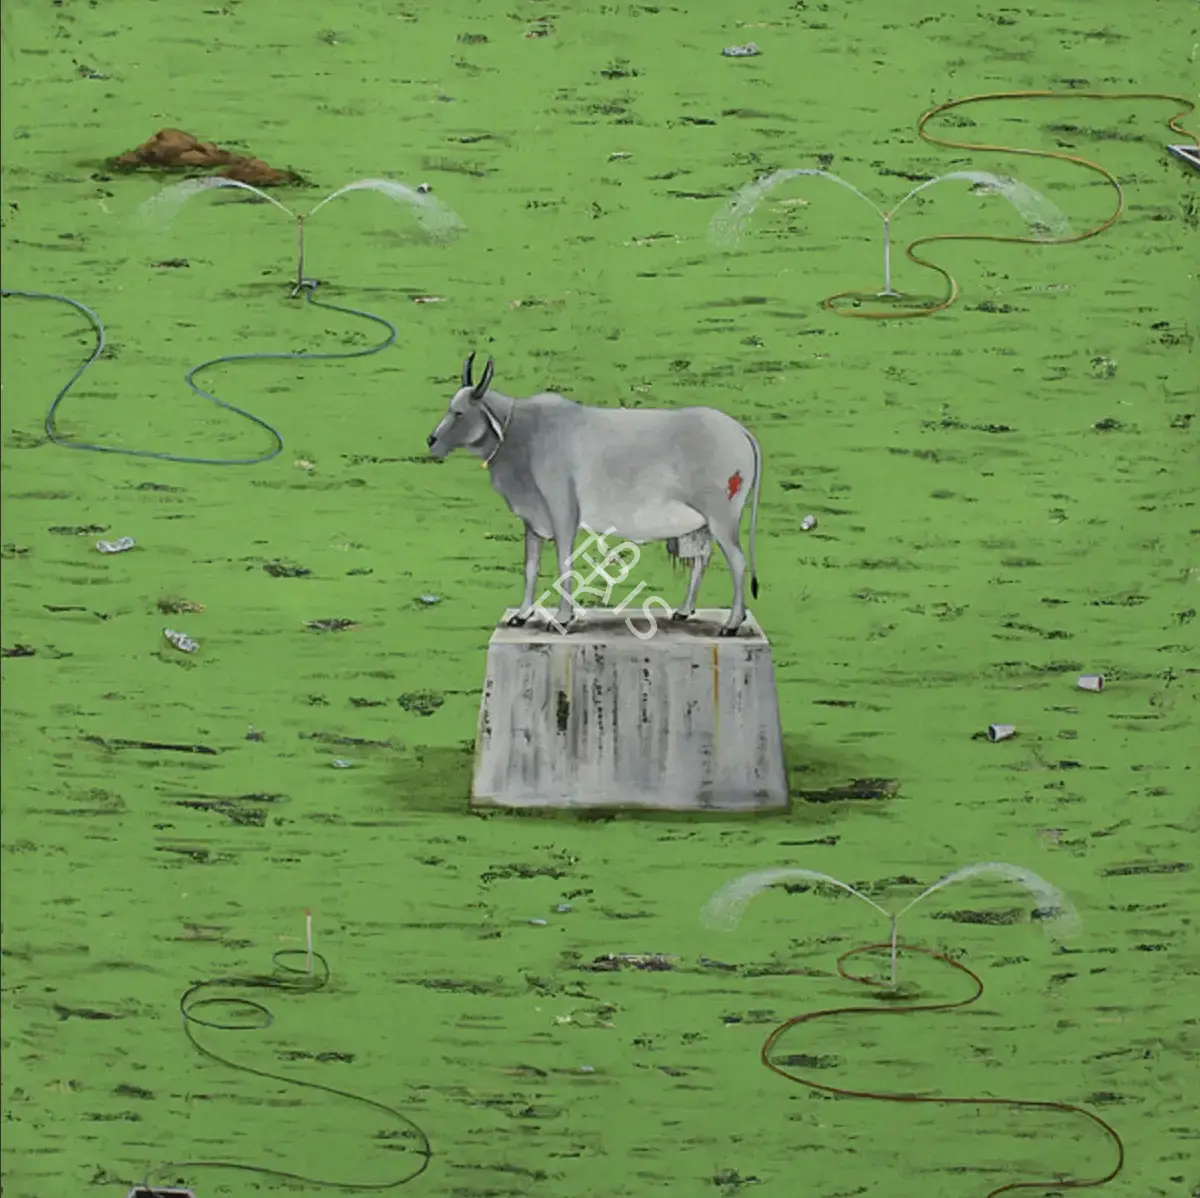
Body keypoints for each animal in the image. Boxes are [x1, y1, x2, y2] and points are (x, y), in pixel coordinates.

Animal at [426, 354, 763, 636]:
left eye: (458, 413)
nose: (431, 440)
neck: (522, 434)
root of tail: (740, 431)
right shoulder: (533, 521)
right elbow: (531, 568)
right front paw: (522, 614)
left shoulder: (563, 513)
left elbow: (564, 563)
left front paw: (563, 618)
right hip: (702, 524)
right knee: (701, 560)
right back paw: (684, 611)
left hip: (722, 519)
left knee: (737, 562)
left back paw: (733, 623)